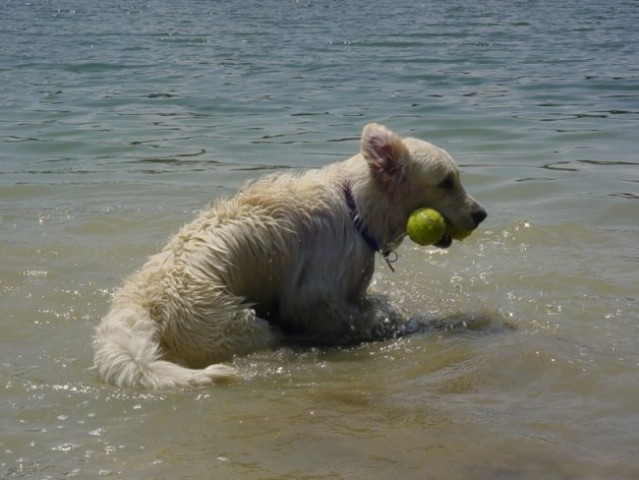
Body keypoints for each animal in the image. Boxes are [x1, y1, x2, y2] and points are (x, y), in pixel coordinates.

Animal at [92, 122, 488, 388]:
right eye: (447, 182)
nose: (481, 213)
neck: (357, 207)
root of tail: (138, 304)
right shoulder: (313, 296)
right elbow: (351, 315)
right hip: (239, 325)